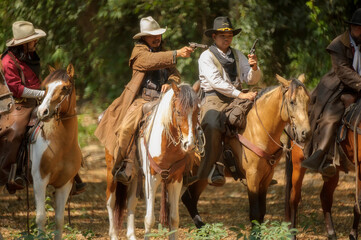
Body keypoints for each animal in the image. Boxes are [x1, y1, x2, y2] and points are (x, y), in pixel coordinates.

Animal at [29, 62, 81, 239]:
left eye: (65, 88)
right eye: (45, 87)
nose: (42, 112)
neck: (61, 146)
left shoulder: (64, 184)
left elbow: (59, 220)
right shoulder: (39, 180)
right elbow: (41, 217)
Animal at [104, 83, 200, 240]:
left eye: (197, 112)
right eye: (178, 112)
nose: (189, 145)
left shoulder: (176, 180)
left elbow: (174, 218)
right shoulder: (152, 178)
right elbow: (149, 219)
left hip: (134, 176)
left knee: (131, 203)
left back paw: (131, 235)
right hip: (111, 173)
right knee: (110, 202)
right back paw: (113, 235)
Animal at [181, 74, 310, 228]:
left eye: (308, 100)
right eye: (292, 102)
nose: (305, 133)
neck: (258, 128)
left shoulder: (266, 176)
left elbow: (261, 213)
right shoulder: (252, 176)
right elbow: (254, 213)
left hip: (201, 176)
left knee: (189, 198)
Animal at [284, 98, 360, 239]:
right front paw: (353, 235)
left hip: (333, 172)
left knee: (325, 197)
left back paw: (331, 233)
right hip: (298, 164)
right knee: (294, 198)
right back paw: (292, 234)